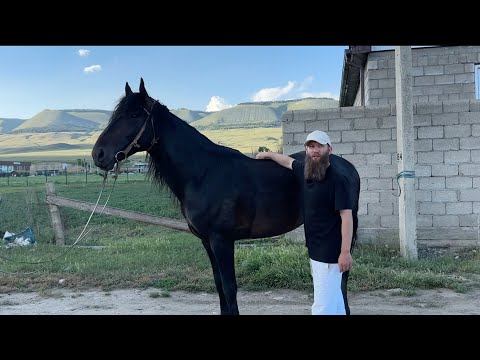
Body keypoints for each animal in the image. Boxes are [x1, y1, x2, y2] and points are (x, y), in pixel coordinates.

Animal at [91, 78, 360, 312]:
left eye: (133, 115)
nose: (98, 154)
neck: (203, 173)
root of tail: (347, 167)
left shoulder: (222, 240)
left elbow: (230, 288)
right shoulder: (207, 241)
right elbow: (219, 286)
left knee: (342, 276)